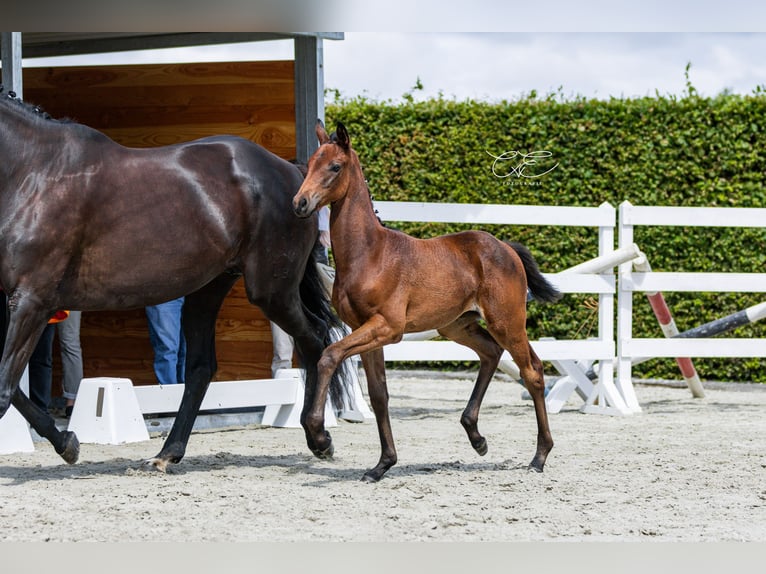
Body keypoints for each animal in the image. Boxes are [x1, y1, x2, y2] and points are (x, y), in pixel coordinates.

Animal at [0, 88, 352, 470]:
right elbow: (11, 388)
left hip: (270, 291)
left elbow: (4, 388)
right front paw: (67, 442)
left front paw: (66, 443)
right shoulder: (19, 302)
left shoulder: (32, 300)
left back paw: (319, 437)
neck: (34, 172)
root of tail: (294, 175)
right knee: (200, 368)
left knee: (315, 338)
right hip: (209, 288)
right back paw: (167, 453)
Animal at [292, 120, 560, 482]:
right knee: (491, 353)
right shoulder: (367, 330)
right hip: (457, 326)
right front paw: (382, 464)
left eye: (334, 167)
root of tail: (505, 247)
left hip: (507, 322)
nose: (300, 203)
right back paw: (476, 437)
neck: (369, 253)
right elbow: (379, 394)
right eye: (309, 165)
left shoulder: (388, 328)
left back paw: (539, 456)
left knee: (532, 371)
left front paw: (320, 438)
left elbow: (328, 356)